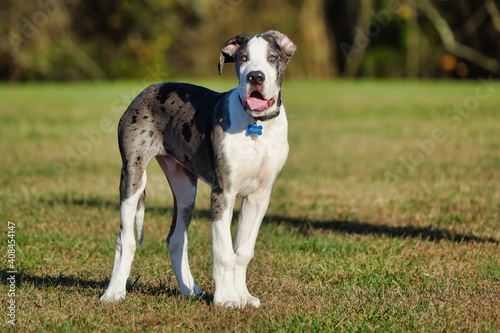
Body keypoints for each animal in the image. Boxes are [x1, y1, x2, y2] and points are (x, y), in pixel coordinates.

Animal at [101, 30, 296, 306]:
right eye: (243, 58)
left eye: (273, 57)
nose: (255, 77)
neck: (256, 125)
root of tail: (148, 89)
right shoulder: (223, 193)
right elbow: (223, 251)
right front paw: (226, 299)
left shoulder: (259, 196)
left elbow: (243, 251)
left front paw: (243, 295)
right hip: (133, 176)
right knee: (125, 238)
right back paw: (114, 292)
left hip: (185, 188)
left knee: (175, 239)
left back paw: (190, 289)